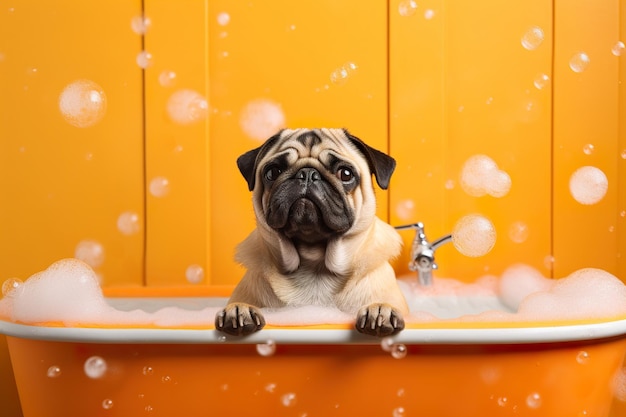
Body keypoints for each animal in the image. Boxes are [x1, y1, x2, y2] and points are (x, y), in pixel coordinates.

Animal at [214, 128, 408, 336]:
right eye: (273, 172)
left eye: (345, 174)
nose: (307, 174)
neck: (314, 265)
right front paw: (239, 310)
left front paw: (380, 310)